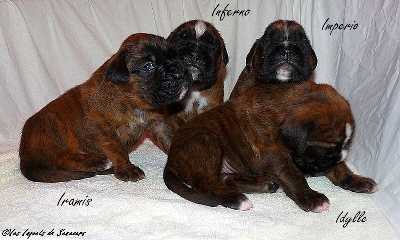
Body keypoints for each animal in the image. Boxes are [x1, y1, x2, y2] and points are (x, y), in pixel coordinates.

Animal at [19, 33, 191, 183]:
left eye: (174, 58)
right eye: (148, 66)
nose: (180, 72)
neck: (133, 102)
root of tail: (24, 155)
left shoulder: (159, 124)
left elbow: (170, 139)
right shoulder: (102, 129)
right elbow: (117, 149)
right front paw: (128, 169)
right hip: (53, 125)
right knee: (62, 158)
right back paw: (99, 162)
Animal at [163, 81, 378, 213]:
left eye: (345, 144)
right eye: (327, 148)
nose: (338, 158)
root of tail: (171, 158)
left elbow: (341, 170)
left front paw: (356, 180)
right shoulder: (274, 154)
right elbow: (293, 175)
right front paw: (311, 197)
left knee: (225, 179)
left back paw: (263, 184)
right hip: (206, 140)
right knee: (206, 183)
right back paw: (236, 199)